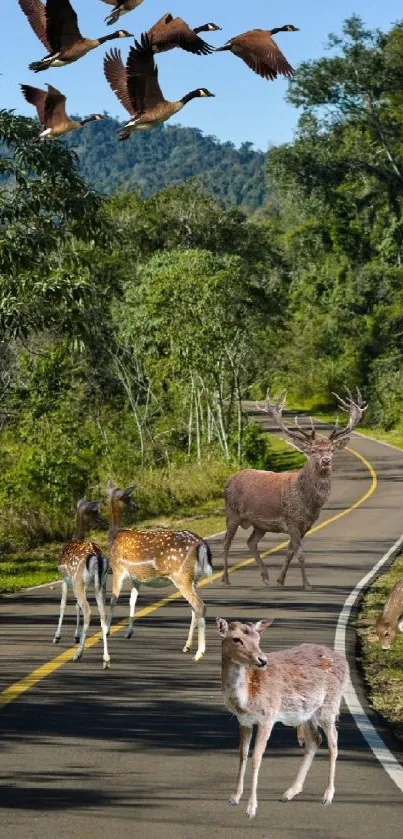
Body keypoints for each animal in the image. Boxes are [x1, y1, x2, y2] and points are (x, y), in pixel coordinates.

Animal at [53, 498, 111, 668]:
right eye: (95, 511)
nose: (105, 520)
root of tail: (97, 556)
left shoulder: (65, 579)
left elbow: (63, 605)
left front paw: (57, 636)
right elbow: (75, 605)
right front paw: (76, 636)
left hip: (78, 581)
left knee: (88, 611)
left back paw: (78, 654)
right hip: (102, 584)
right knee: (102, 613)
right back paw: (106, 659)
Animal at [107, 482, 215, 660]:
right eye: (129, 497)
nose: (137, 506)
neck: (113, 536)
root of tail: (201, 544)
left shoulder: (117, 568)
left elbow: (113, 599)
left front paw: (107, 630)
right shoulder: (137, 578)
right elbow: (132, 600)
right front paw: (128, 632)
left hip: (181, 576)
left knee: (199, 606)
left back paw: (199, 653)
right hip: (194, 578)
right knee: (194, 608)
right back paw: (187, 646)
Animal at [216, 616, 348, 820]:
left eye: (258, 638)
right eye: (236, 639)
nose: (262, 660)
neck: (247, 699)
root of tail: (344, 661)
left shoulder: (267, 717)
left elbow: (256, 758)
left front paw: (251, 809)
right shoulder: (243, 720)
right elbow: (242, 755)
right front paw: (234, 798)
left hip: (329, 705)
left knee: (333, 741)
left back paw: (327, 796)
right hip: (307, 713)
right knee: (315, 740)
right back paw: (290, 792)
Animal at [223, 390, 368, 588]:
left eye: (331, 450)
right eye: (313, 451)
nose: (326, 461)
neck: (307, 502)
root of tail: (228, 480)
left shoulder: (306, 525)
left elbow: (291, 551)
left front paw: (280, 580)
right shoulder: (292, 521)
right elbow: (300, 554)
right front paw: (307, 584)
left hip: (259, 525)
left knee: (251, 542)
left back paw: (265, 577)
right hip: (232, 513)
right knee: (226, 543)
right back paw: (226, 579)